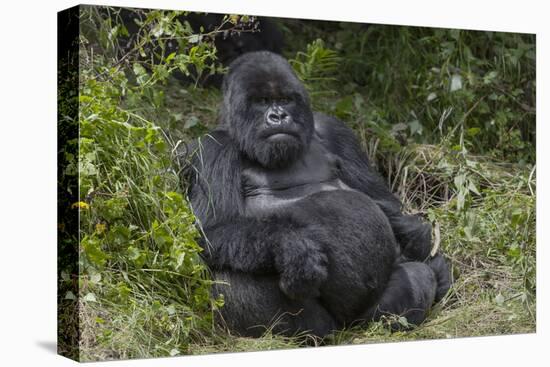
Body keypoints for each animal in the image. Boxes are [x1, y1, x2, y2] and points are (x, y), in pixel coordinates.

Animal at [184, 51, 452, 340]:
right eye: (262, 102)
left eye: (285, 100)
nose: (279, 116)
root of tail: (346, 326)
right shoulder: (213, 149)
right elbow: (209, 230)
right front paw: (293, 248)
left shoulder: (335, 131)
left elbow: (383, 201)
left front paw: (417, 238)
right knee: (230, 276)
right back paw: (312, 334)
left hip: (365, 314)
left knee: (418, 276)